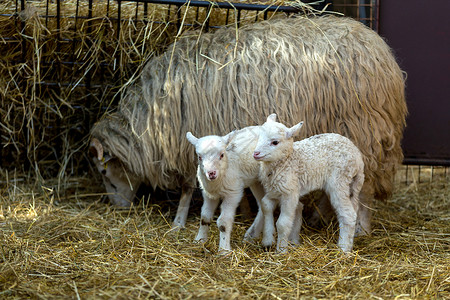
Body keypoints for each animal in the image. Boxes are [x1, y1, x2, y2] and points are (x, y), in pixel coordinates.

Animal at [89, 14, 408, 230]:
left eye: (104, 172)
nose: (118, 208)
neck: (150, 120)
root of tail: (381, 50)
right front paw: (242, 211)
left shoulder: (188, 142)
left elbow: (187, 188)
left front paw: (179, 221)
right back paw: (319, 217)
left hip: (364, 134)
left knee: (365, 189)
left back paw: (361, 228)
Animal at [253, 115, 366, 253]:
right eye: (259, 137)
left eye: (275, 142)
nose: (256, 153)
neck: (287, 160)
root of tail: (358, 158)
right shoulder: (274, 190)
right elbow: (265, 205)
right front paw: (268, 240)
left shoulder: (289, 192)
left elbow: (282, 223)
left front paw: (281, 250)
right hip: (353, 185)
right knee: (353, 210)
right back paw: (349, 244)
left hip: (339, 182)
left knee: (348, 215)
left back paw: (343, 249)